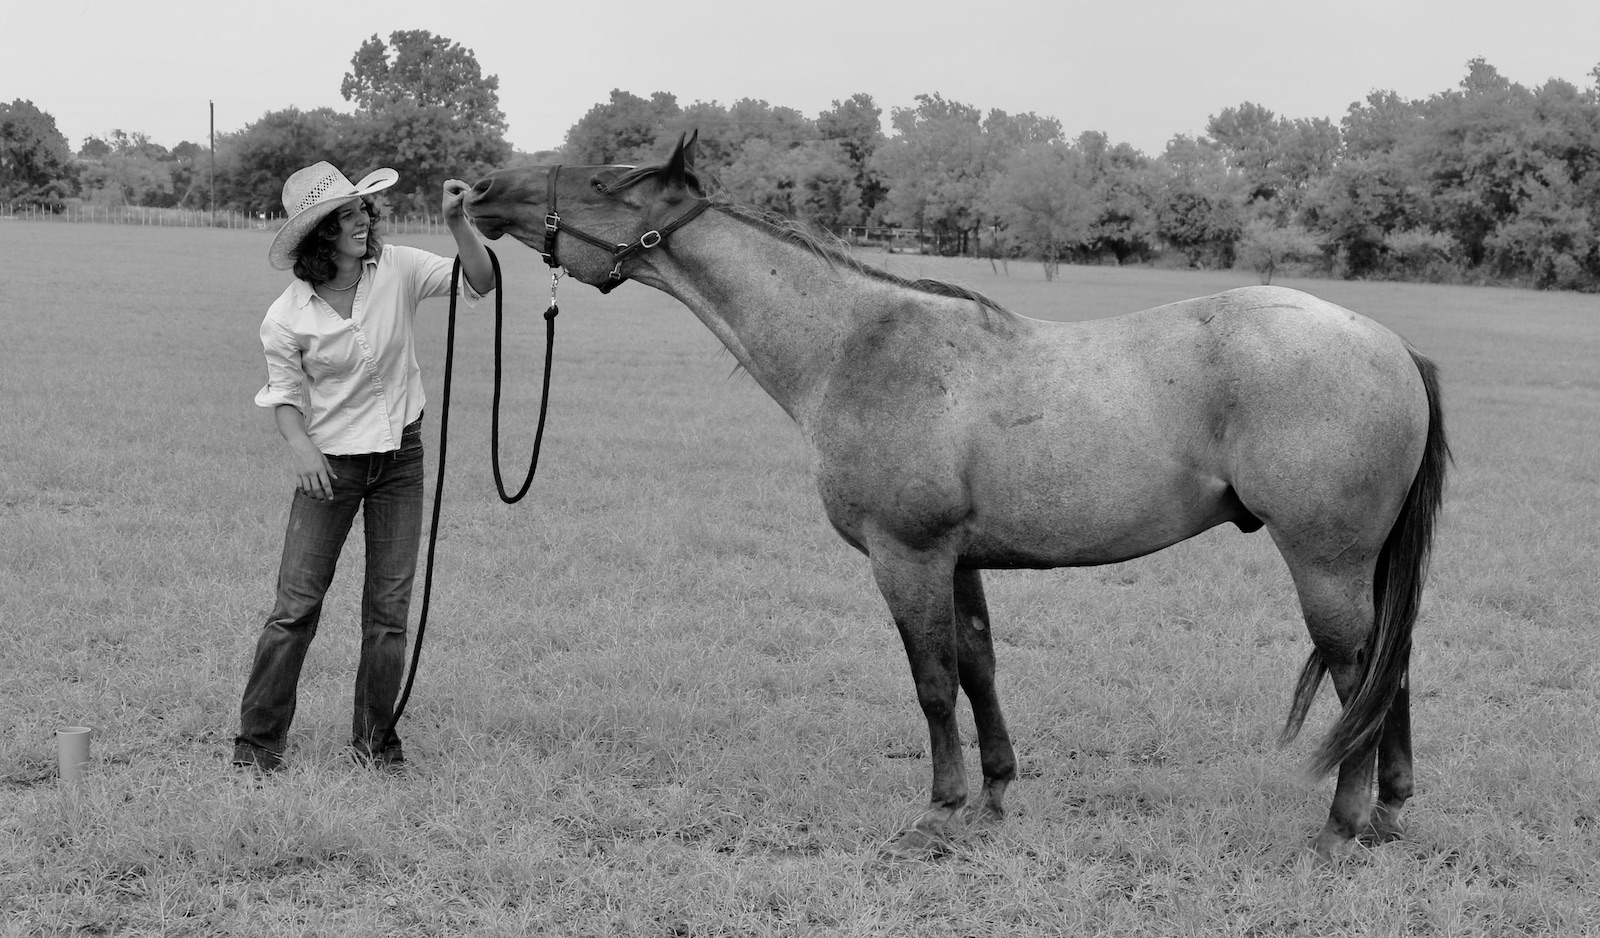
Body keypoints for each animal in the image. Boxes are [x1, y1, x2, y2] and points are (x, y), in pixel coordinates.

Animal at [464, 134, 1450, 861]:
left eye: (604, 179)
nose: (480, 188)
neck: (853, 345)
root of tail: (1391, 345)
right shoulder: (961, 560)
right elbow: (978, 670)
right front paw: (994, 799)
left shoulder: (908, 556)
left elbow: (933, 684)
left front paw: (939, 812)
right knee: (1389, 671)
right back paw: (1388, 814)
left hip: (1325, 563)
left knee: (1360, 675)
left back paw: (1342, 825)